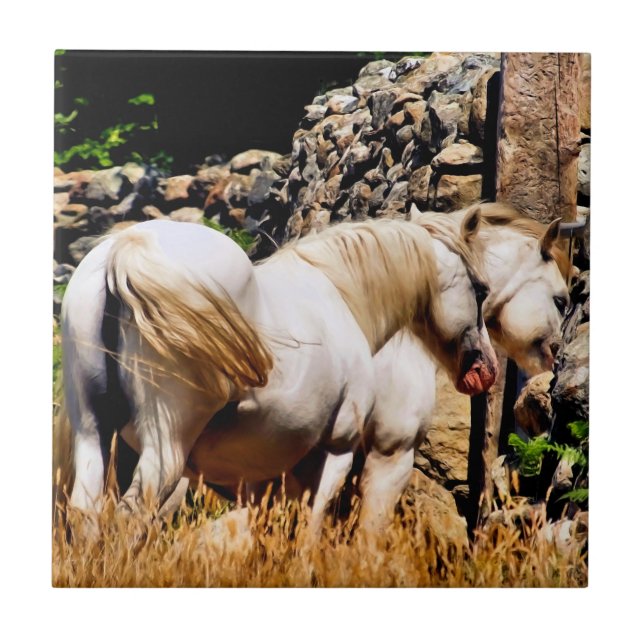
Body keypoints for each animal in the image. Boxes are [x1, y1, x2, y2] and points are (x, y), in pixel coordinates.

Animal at [60, 210, 498, 532]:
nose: (486, 369)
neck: (342, 297)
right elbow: (314, 531)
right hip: (166, 447)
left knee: (87, 514)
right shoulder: (341, 452)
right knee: (131, 516)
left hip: (94, 433)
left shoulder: (263, 475)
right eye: (481, 290)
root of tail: (125, 248)